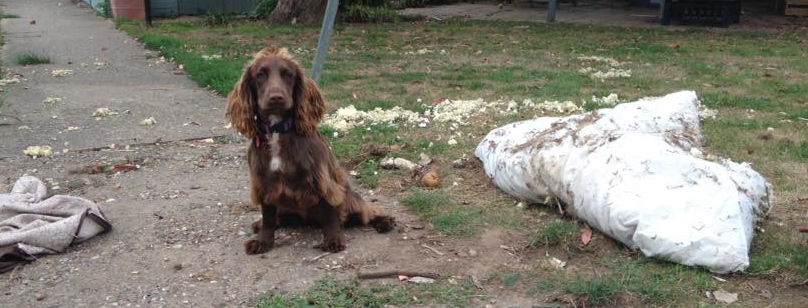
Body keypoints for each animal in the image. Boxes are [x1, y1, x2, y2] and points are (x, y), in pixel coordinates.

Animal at [227, 47, 394, 254]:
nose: (276, 98)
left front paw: (333, 239)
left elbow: (330, 212)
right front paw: (263, 241)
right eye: (260, 74)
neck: (277, 130)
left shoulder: (321, 180)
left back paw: (384, 221)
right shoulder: (263, 182)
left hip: (349, 199)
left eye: (288, 74)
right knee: (277, 219)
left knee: (366, 211)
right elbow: (268, 217)